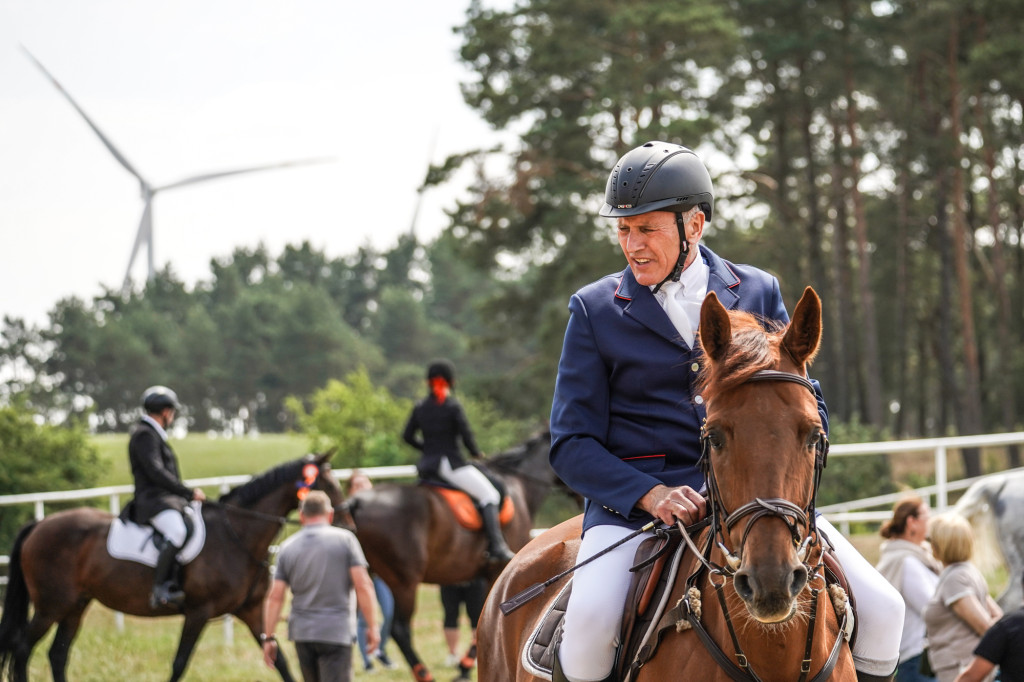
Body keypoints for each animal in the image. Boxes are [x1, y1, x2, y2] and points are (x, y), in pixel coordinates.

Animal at [0, 450, 344, 679]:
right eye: (325, 485)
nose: (346, 519)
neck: (237, 536)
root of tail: (38, 525)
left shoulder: (251, 610)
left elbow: (279, 659)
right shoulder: (198, 612)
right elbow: (179, 663)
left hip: (75, 605)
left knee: (58, 654)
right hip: (51, 605)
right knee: (22, 648)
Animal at [348, 428, 565, 679]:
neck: (519, 484)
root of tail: (357, 501)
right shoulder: (498, 572)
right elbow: (486, 617)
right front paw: (464, 667)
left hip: (363, 575)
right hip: (403, 582)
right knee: (400, 629)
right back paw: (424, 674)